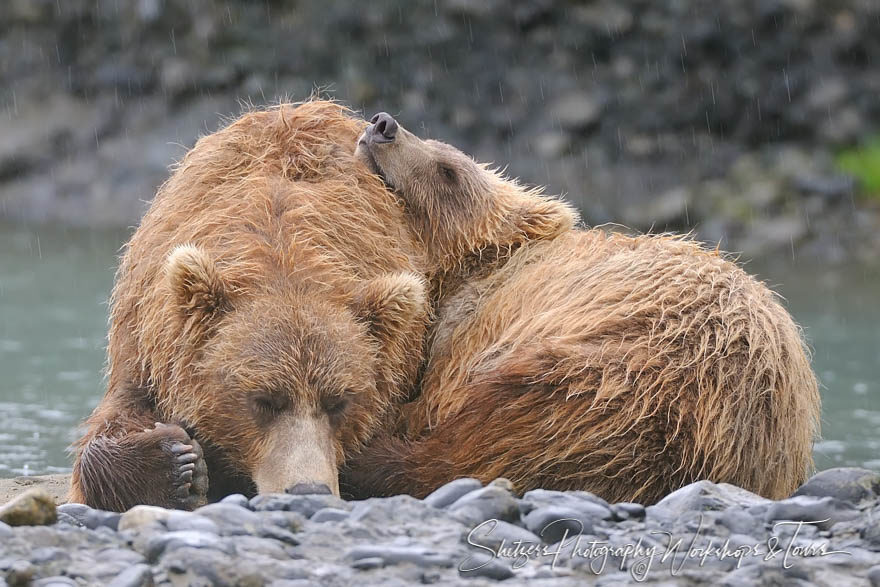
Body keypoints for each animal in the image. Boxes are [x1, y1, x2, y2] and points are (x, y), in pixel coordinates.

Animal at [72, 100, 576, 510]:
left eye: (339, 402)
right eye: (263, 399)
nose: (308, 491)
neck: (281, 250)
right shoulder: (147, 333)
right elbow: (116, 416)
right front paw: (174, 463)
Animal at [342, 113, 820, 506]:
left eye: (449, 170)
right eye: (436, 144)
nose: (384, 125)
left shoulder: (475, 332)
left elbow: (436, 398)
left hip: (619, 367)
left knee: (485, 436)